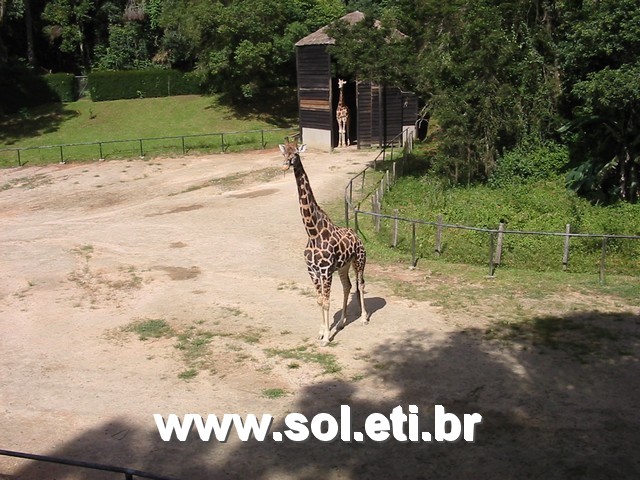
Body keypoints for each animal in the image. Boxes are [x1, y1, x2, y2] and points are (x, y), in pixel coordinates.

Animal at [278, 139, 368, 344]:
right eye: (284, 153)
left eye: (296, 153)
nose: (285, 165)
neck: (313, 233)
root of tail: (357, 236)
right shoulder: (312, 270)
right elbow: (319, 300)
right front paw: (321, 331)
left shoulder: (326, 271)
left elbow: (326, 301)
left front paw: (327, 337)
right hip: (343, 266)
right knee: (347, 286)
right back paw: (342, 322)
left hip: (359, 261)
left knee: (360, 284)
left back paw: (364, 318)